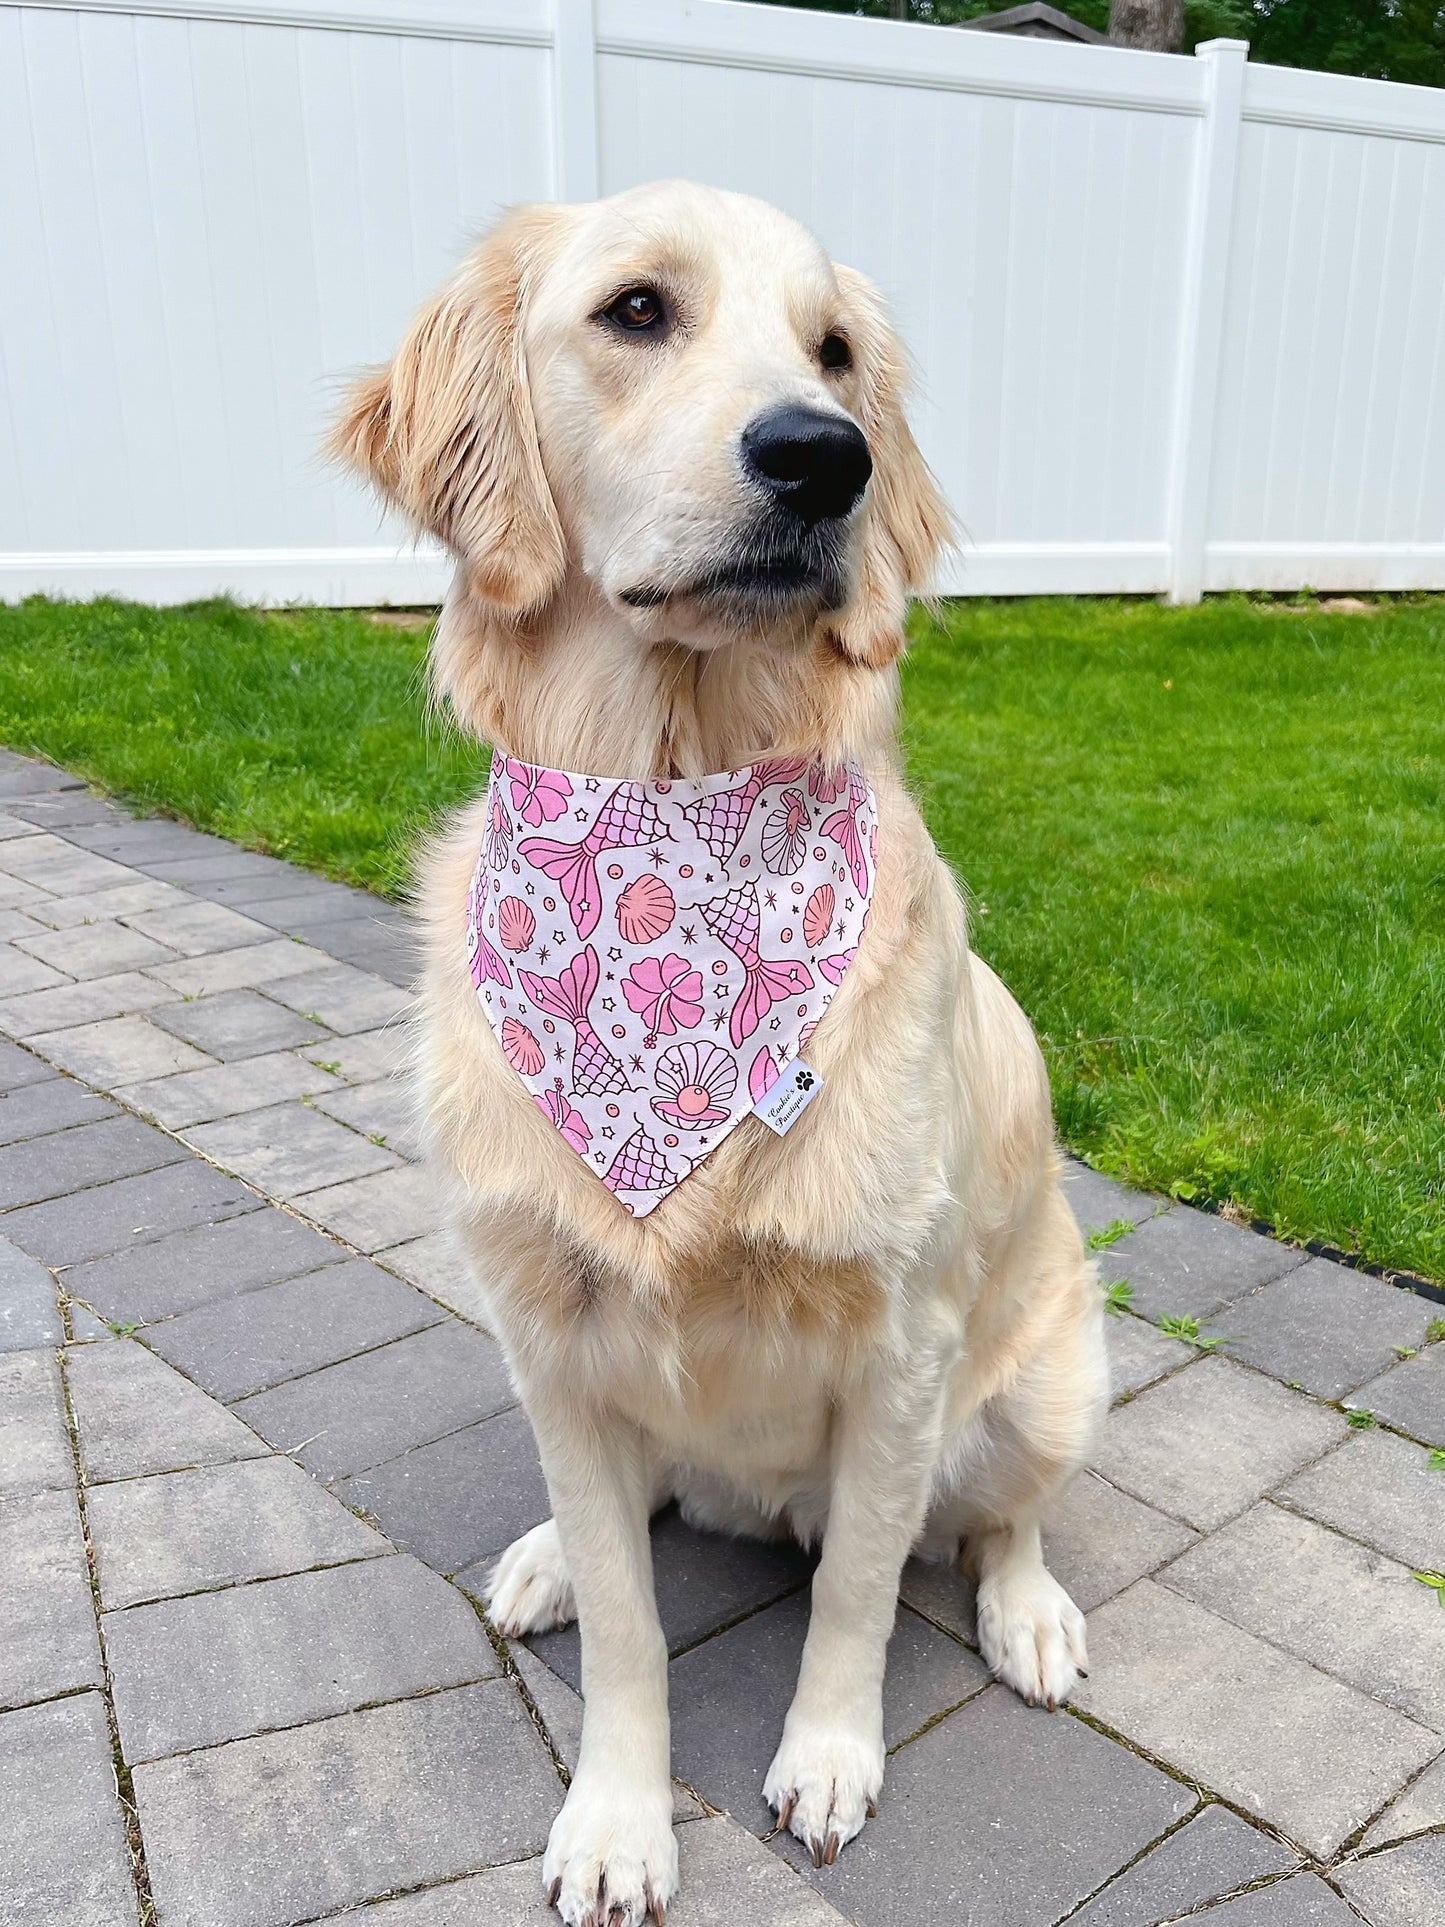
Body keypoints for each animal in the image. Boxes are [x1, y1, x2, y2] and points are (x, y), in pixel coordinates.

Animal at [337, 181, 1109, 1927]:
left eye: (832, 352)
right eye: (637, 310)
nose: (827, 456)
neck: (673, 812)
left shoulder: (902, 1346)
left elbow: (859, 1598)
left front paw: (825, 1759)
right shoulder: (548, 1329)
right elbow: (633, 1629)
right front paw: (618, 1820)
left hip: (1050, 1371)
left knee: (1004, 1519)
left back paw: (1029, 1613)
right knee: (633, 1506)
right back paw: (550, 1554)